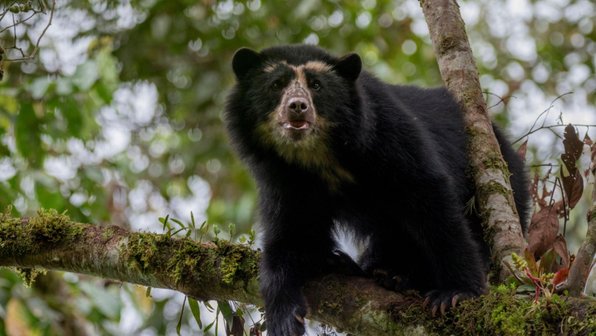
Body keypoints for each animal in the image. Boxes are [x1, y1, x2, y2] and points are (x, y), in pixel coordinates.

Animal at [225, 45, 532, 336]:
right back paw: (354, 265)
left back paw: (398, 276)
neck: (318, 155)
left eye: (316, 85)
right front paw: (285, 318)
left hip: (501, 176)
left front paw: (455, 293)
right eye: (276, 84)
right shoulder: (283, 178)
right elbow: (291, 233)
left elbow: (430, 199)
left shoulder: (386, 132)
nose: (297, 106)